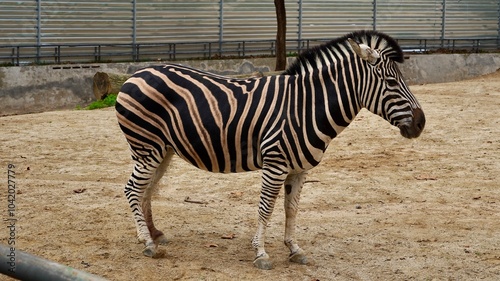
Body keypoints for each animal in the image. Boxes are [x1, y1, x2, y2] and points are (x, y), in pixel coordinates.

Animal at [114, 29, 426, 268]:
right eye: (391, 82)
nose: (421, 123)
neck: (306, 107)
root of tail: (138, 72)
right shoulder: (275, 164)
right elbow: (265, 208)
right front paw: (261, 253)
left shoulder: (299, 169)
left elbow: (292, 209)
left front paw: (294, 249)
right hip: (147, 147)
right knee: (132, 189)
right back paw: (147, 243)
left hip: (163, 150)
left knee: (147, 189)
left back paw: (154, 234)